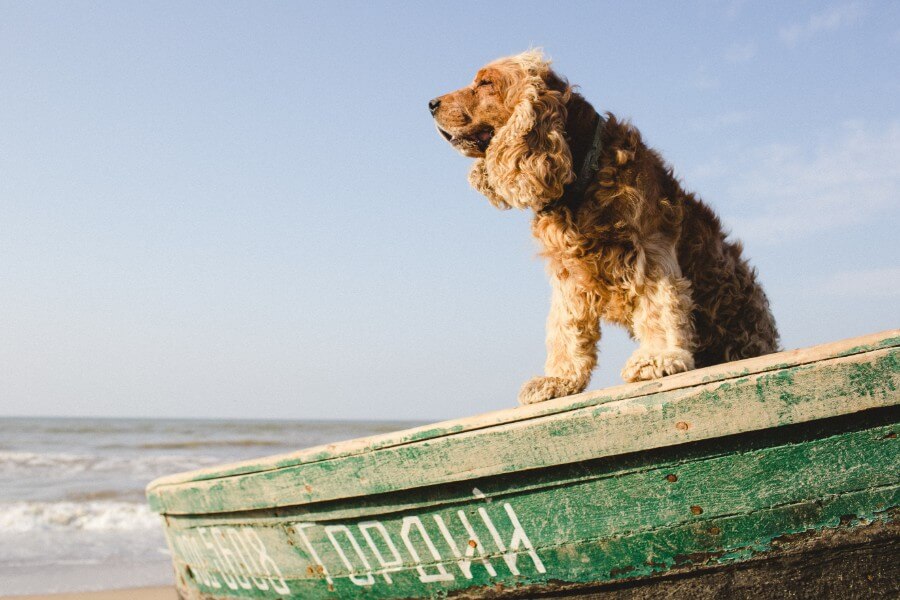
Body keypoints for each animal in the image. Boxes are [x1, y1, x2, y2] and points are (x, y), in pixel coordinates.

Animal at [432, 49, 776, 406]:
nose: (431, 104)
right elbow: (565, 327)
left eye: (486, 83)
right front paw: (559, 378)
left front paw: (657, 357)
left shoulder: (650, 250)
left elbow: (659, 305)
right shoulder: (567, 273)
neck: (583, 173)